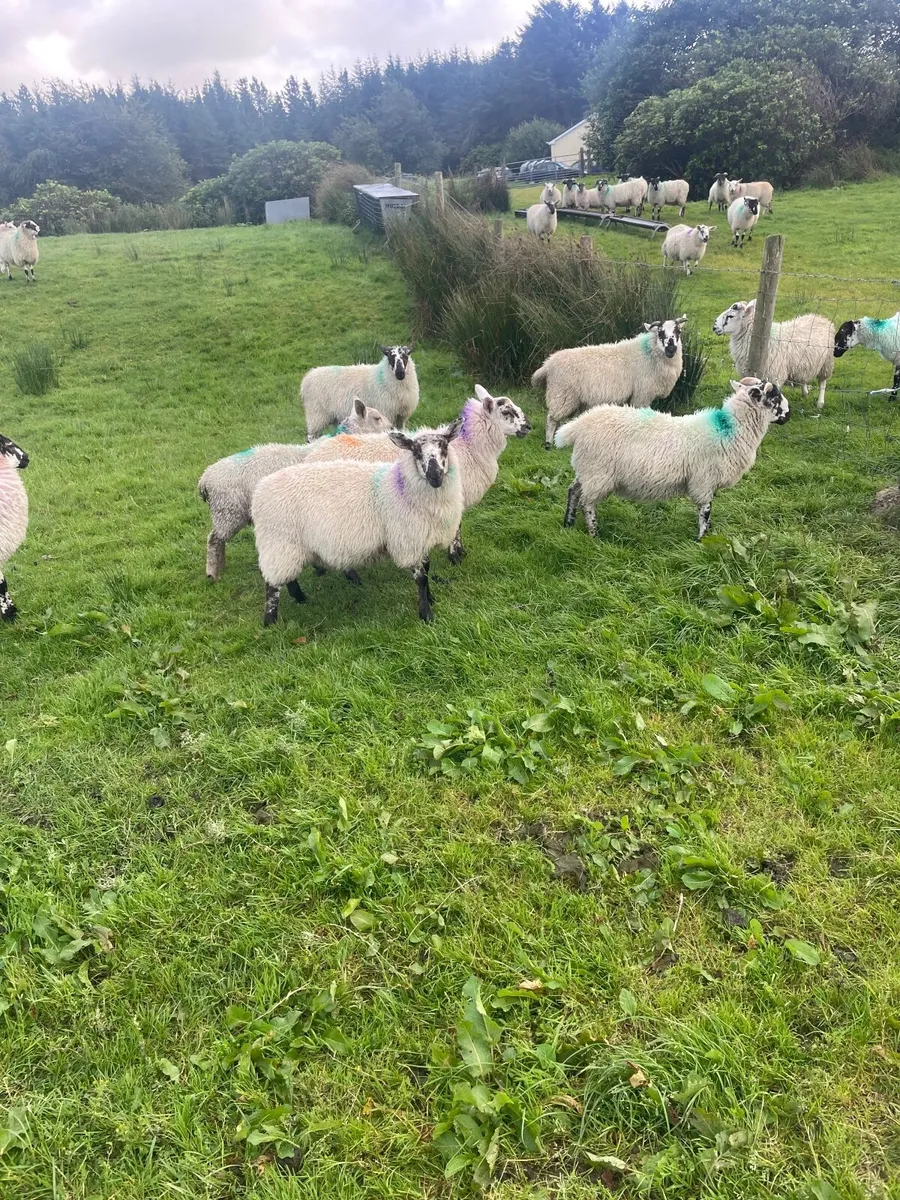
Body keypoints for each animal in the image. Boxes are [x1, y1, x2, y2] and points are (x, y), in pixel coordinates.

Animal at [199, 398, 388, 581]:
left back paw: (221, 566)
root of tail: (205, 479)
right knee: (214, 540)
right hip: (228, 512)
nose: (392, 429)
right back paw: (213, 573)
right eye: (377, 418)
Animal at [251, 422, 464, 626]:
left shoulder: (421, 537)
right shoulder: (408, 540)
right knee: (272, 586)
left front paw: (430, 598)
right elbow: (420, 578)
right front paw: (426, 614)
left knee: (288, 577)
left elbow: (427, 571)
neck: (401, 488)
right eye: (415, 451)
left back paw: (301, 599)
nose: (435, 475)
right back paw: (270, 621)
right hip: (279, 542)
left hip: (289, 546)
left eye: (444, 446)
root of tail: (260, 490)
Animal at [287, 385, 531, 563]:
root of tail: (310, 454)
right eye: (506, 411)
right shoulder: (454, 496)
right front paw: (456, 556)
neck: (470, 446)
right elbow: (457, 529)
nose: (529, 427)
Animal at [532, 317, 688, 447]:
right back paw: (548, 444)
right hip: (562, 394)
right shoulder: (642, 395)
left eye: (678, 331)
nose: (671, 348)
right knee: (551, 419)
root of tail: (548, 364)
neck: (648, 354)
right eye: (660, 333)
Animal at [556, 377, 789, 541]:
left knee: (573, 491)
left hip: (587, 470)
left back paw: (568, 524)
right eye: (775, 397)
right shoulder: (704, 481)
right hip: (598, 473)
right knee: (587, 502)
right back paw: (594, 534)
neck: (728, 429)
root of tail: (577, 426)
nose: (788, 415)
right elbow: (705, 511)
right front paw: (701, 540)